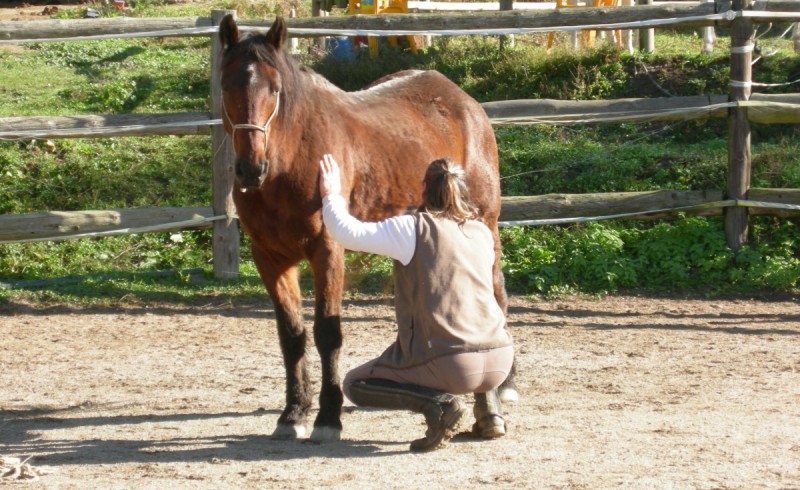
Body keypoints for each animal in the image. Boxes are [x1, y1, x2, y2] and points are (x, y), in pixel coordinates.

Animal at [217, 14, 512, 440]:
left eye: (275, 89)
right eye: (226, 85)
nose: (251, 168)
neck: (290, 161)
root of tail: (459, 99)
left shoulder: (327, 251)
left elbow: (327, 333)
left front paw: (327, 416)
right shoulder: (269, 258)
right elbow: (292, 336)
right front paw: (293, 413)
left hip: (486, 223)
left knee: (497, 297)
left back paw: (498, 395)